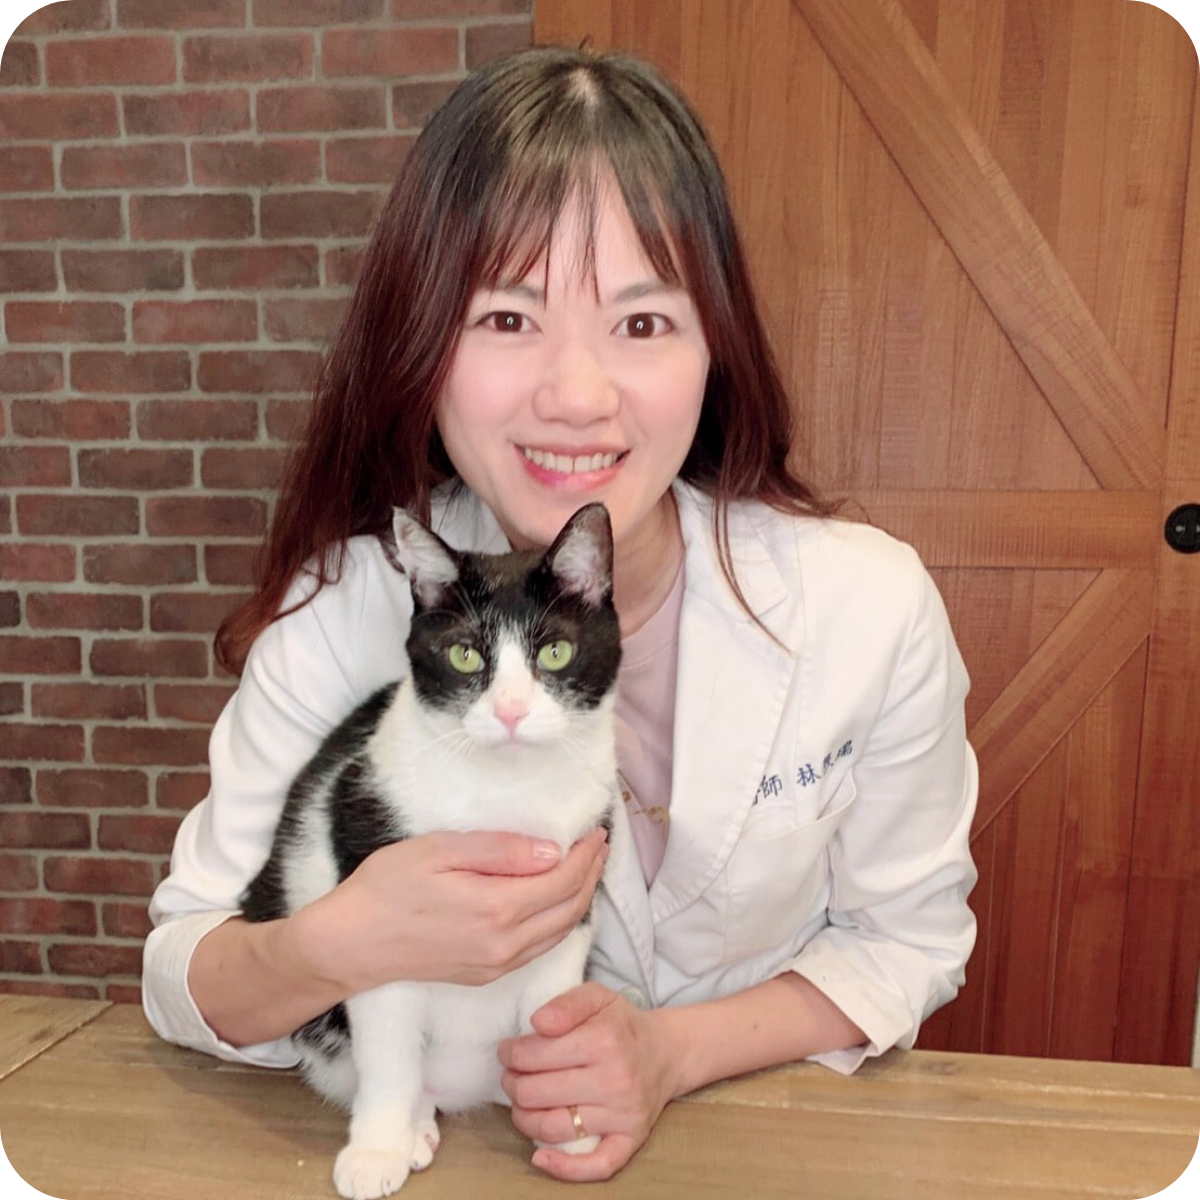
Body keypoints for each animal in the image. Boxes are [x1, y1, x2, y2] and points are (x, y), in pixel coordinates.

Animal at [240, 502, 621, 1200]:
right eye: (465, 655)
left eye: (555, 651)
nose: (511, 711)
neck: (504, 791)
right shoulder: (374, 891)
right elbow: (388, 1049)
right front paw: (376, 1150)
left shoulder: (572, 908)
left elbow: (550, 1015)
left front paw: (567, 1125)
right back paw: (414, 1123)